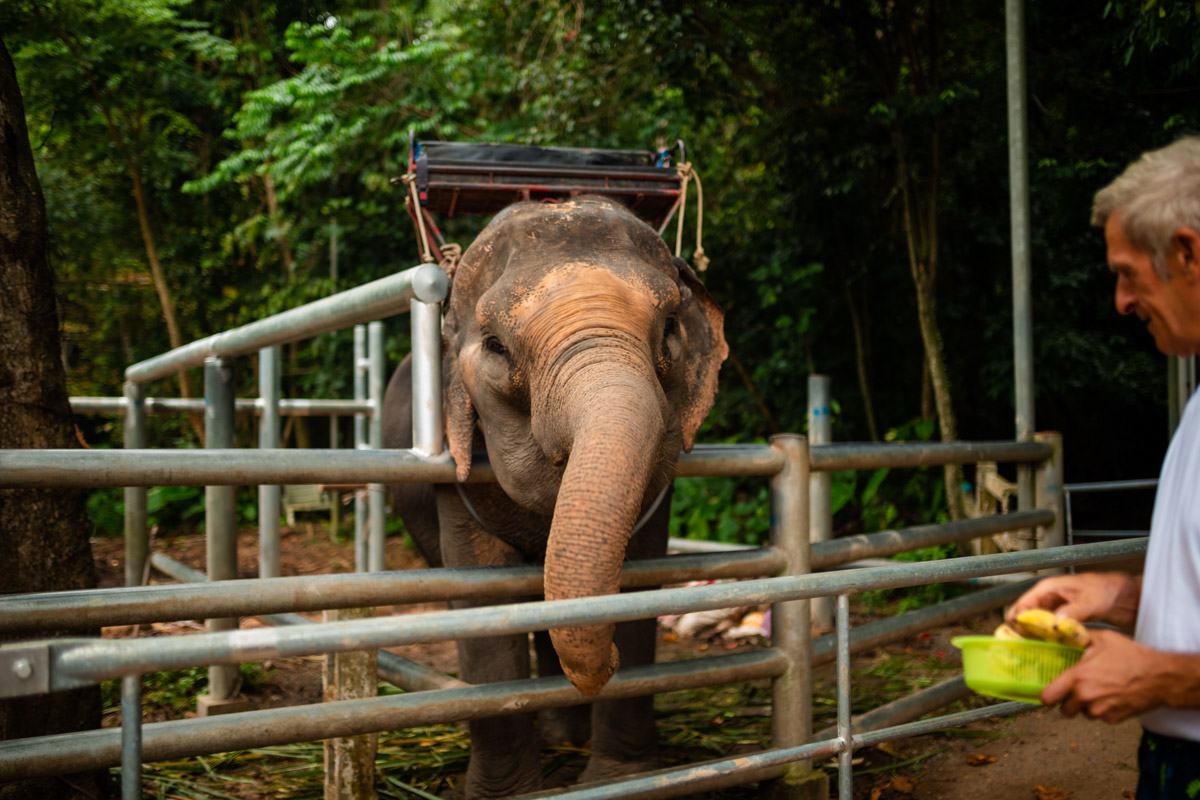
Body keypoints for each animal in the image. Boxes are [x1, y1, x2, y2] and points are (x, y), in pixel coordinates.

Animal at [384, 195, 724, 800]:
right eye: (495, 345)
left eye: (669, 330)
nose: (608, 663)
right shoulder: (457, 480)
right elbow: (481, 602)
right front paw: (509, 794)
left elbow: (639, 579)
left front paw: (626, 778)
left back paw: (566, 736)